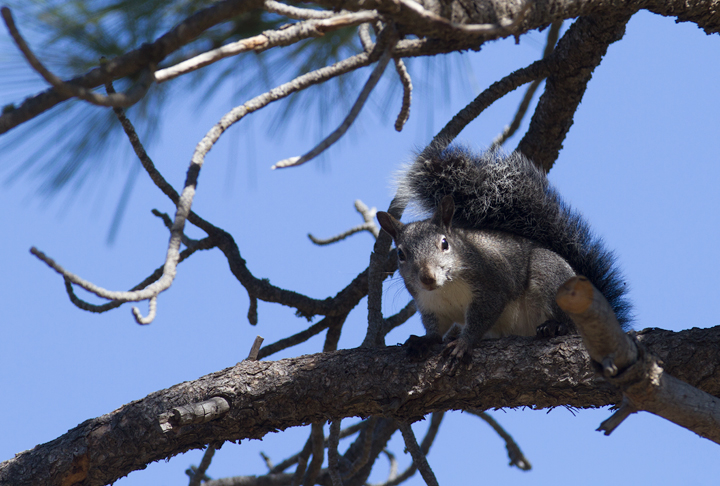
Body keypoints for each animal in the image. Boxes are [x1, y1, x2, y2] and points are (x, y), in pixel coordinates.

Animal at [376, 145, 631, 362]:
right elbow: (434, 328)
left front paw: (464, 343)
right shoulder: (429, 304)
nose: (427, 278)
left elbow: (483, 316)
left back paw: (556, 326)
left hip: (550, 275)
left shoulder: (492, 283)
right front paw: (425, 341)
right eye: (400, 254)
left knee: (568, 320)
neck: (445, 288)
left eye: (445, 243)